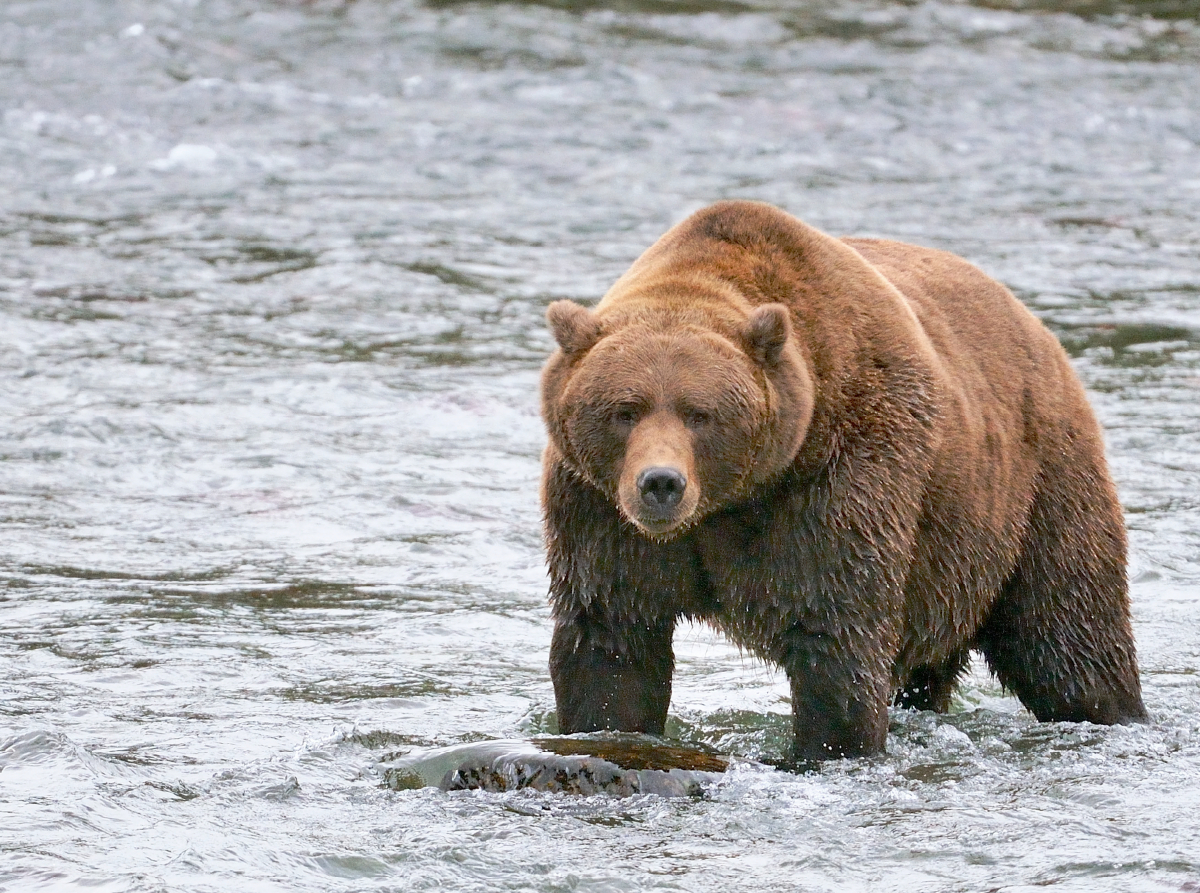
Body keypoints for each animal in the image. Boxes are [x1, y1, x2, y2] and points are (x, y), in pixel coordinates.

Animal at [540, 199, 1147, 763]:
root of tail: (1039, 330)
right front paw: (605, 729)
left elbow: (836, 633)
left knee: (1068, 631)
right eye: (625, 410)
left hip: (1033, 490)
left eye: (700, 413)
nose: (661, 483)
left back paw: (1112, 711)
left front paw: (825, 747)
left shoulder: (844, 474)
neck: (732, 501)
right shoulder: (597, 509)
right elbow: (612, 638)